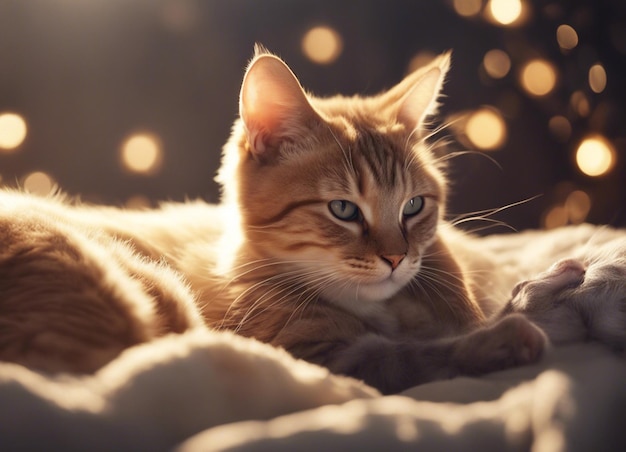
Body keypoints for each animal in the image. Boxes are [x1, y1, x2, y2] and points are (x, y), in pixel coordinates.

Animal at [0, 46, 552, 396]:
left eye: (413, 206)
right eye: (343, 210)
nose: (397, 258)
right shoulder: (313, 354)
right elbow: (400, 356)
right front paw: (503, 337)